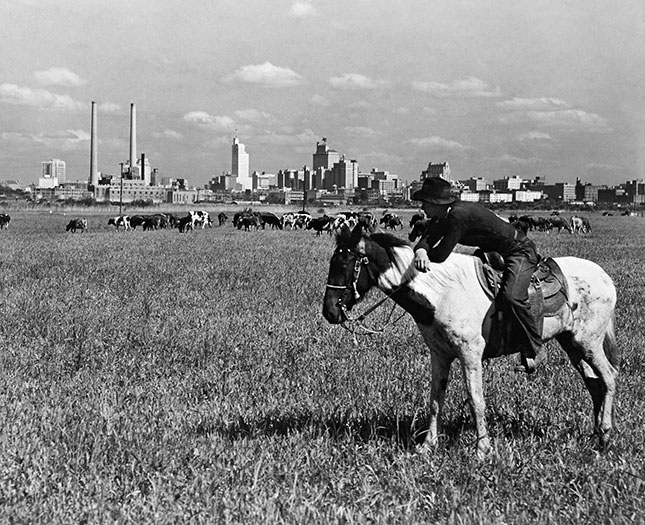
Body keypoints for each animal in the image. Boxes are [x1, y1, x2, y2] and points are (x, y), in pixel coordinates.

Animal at [322, 227, 620, 456]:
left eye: (344, 264)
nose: (329, 312)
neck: (441, 293)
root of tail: (605, 277)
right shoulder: (440, 354)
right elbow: (435, 400)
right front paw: (427, 446)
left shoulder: (470, 354)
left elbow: (476, 400)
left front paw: (482, 449)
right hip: (572, 344)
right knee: (594, 384)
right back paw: (595, 435)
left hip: (589, 342)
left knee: (608, 377)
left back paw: (605, 435)